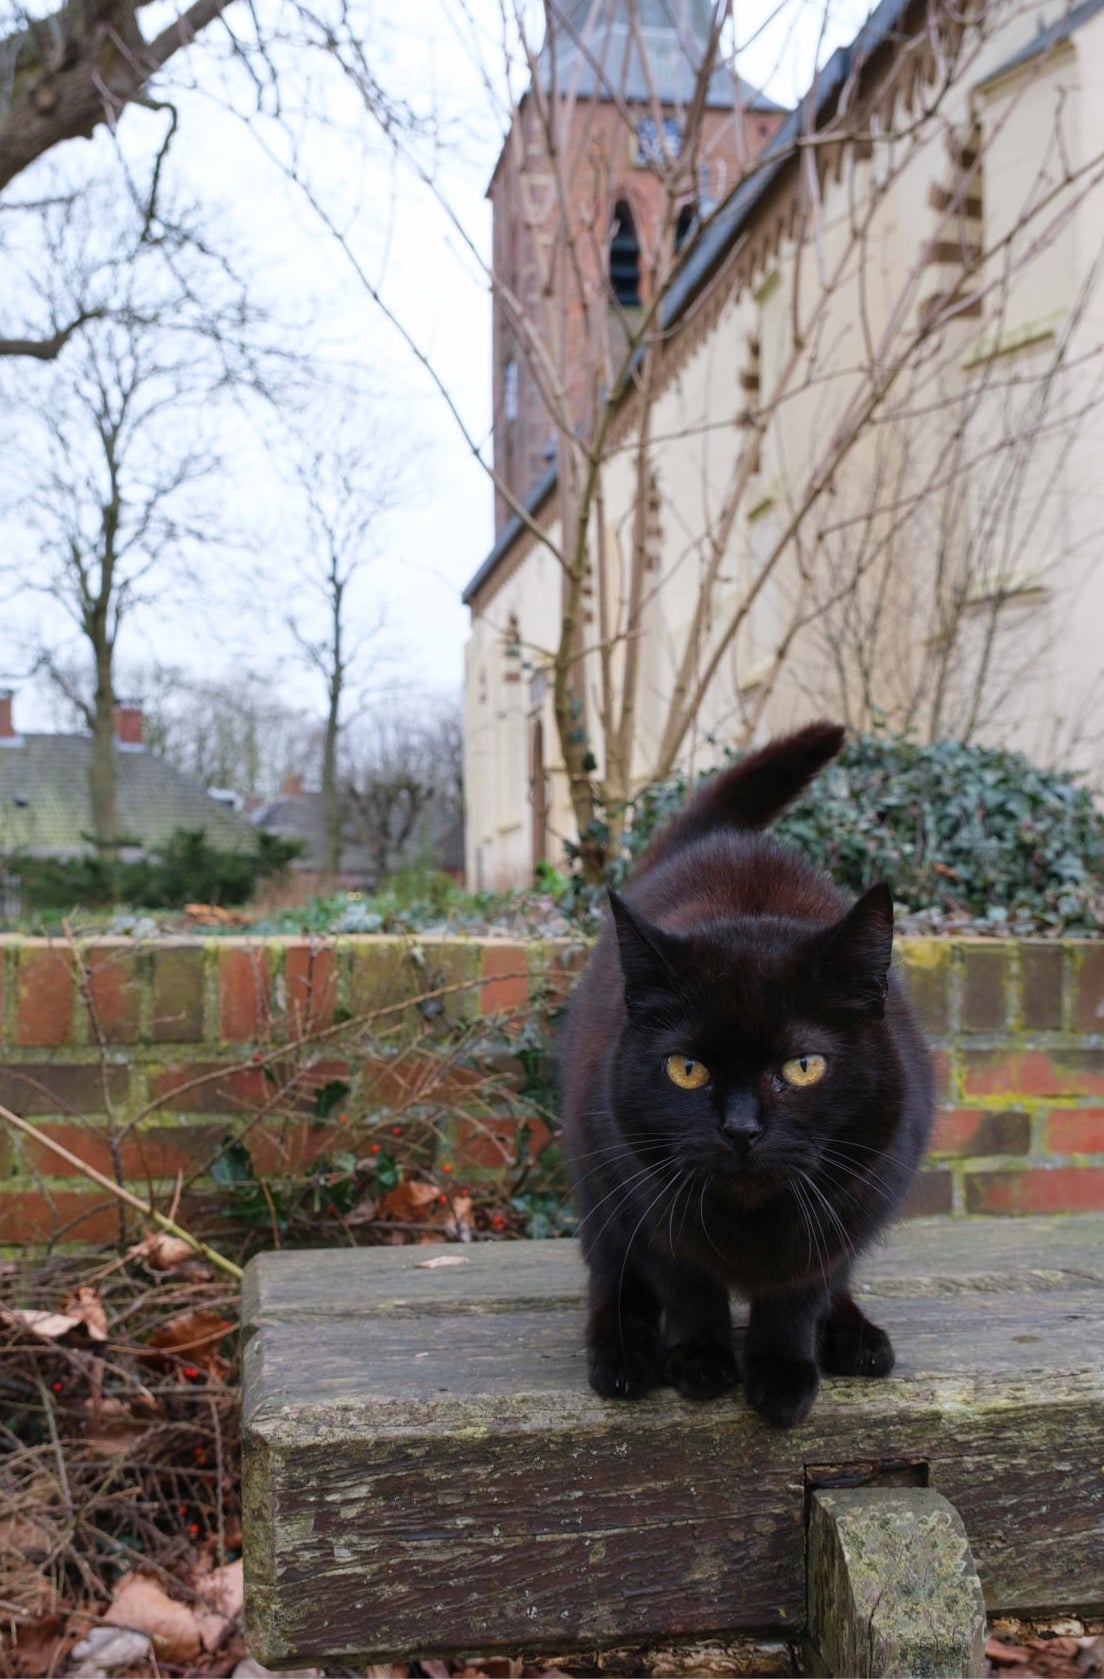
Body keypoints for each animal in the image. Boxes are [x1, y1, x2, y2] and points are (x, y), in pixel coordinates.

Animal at [560, 722, 934, 1429]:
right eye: (686, 1069)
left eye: (804, 1066)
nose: (740, 1129)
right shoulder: (646, 1196)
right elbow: (688, 1284)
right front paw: (700, 1362)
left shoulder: (848, 1206)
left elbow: (798, 1293)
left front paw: (783, 1373)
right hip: (596, 1177)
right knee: (610, 1271)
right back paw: (622, 1352)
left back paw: (853, 1336)